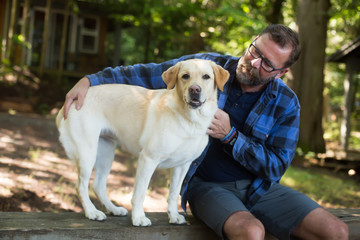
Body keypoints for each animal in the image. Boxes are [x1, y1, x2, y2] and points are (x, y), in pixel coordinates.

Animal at [56, 59, 229, 226]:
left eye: (206, 77)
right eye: (185, 76)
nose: (194, 90)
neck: (189, 120)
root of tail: (68, 103)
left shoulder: (183, 165)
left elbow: (173, 193)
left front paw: (173, 216)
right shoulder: (148, 159)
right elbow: (140, 193)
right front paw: (138, 218)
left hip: (106, 153)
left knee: (98, 185)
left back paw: (113, 209)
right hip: (87, 153)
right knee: (80, 186)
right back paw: (92, 212)